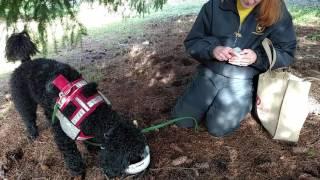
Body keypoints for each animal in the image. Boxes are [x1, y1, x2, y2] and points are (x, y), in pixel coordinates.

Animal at [5, 32, 149, 177]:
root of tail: (26, 62)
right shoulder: (63, 133)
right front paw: (77, 170)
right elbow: (71, 153)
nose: (141, 170)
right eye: (132, 159)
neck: (94, 114)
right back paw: (33, 134)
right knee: (28, 117)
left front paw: (92, 148)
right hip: (24, 101)